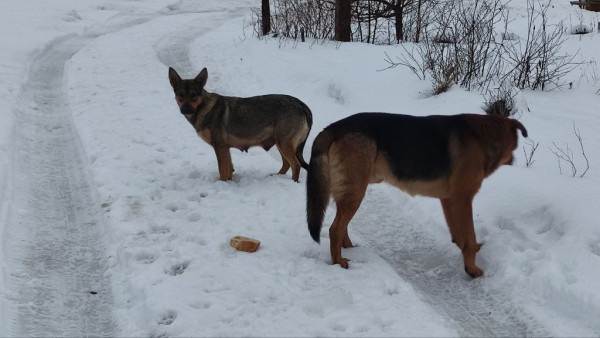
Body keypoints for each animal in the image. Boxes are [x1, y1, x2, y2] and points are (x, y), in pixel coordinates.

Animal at [308, 113, 528, 278]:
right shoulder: (463, 200)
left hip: (350, 191)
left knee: (342, 225)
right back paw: (338, 261)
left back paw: (349, 247)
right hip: (355, 191)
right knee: (335, 228)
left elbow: (459, 235)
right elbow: (470, 238)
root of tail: (333, 128)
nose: (514, 162)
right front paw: (472, 268)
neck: (486, 136)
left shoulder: (449, 201)